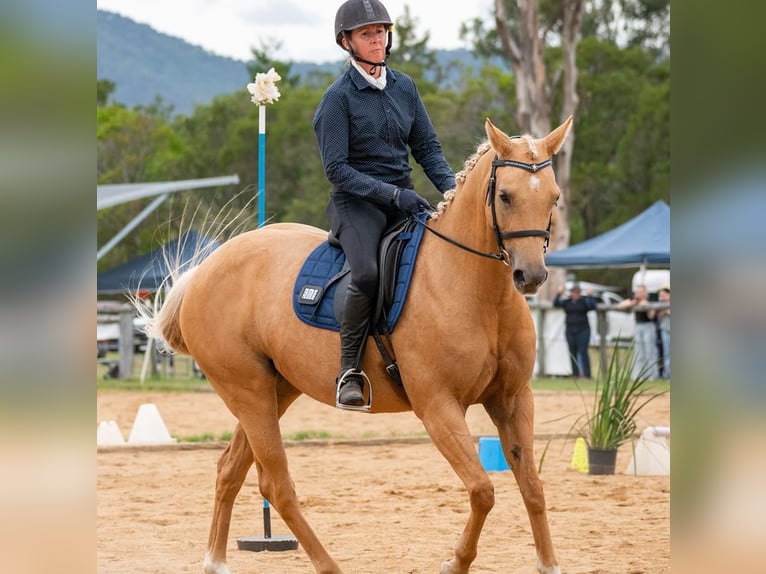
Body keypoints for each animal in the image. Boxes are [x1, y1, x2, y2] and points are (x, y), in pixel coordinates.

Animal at [146, 116, 572, 574]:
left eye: (554, 197)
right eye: (506, 196)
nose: (531, 276)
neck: (473, 290)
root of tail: (206, 269)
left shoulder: (512, 399)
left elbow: (533, 487)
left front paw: (549, 565)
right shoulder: (438, 407)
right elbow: (482, 490)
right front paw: (455, 562)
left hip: (274, 391)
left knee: (230, 468)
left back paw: (216, 562)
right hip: (248, 392)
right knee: (275, 484)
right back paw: (327, 565)